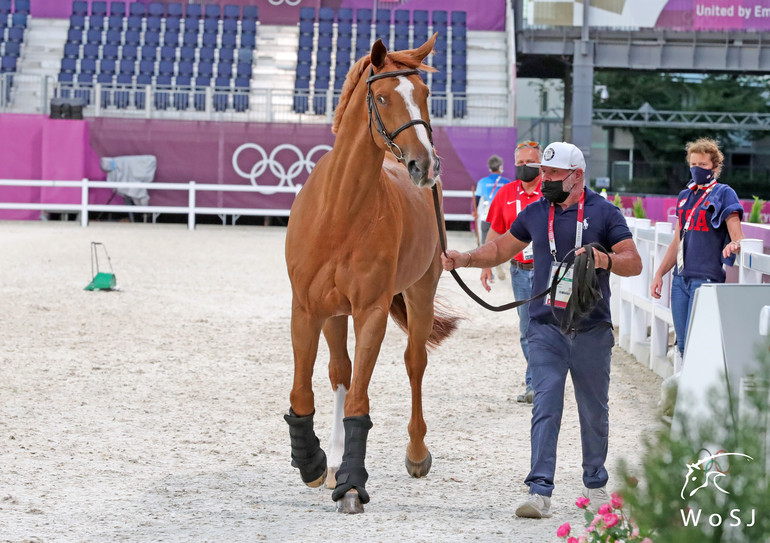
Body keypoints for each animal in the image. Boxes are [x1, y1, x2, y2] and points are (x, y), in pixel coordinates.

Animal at [284, 35, 460, 516]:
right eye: (382, 97)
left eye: (425, 95)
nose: (426, 165)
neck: (339, 211)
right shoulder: (307, 309)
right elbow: (305, 391)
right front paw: (314, 463)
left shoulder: (371, 312)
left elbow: (360, 399)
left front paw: (351, 483)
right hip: (334, 314)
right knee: (339, 372)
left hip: (420, 292)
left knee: (414, 363)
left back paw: (416, 454)